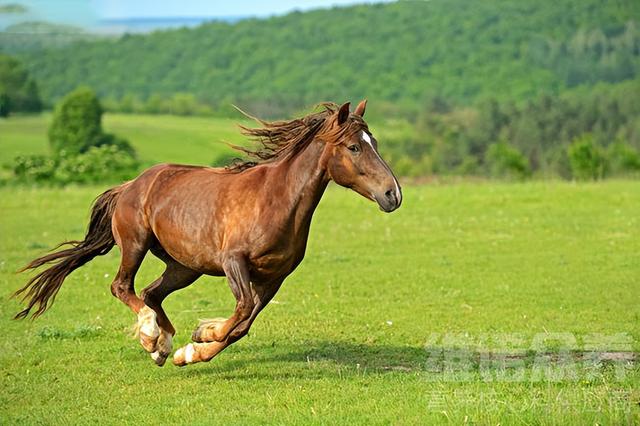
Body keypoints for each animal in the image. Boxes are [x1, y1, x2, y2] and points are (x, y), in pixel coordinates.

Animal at [12, 100, 402, 366]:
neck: (276, 200)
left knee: (152, 293)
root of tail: (129, 185)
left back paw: (163, 347)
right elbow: (241, 311)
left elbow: (243, 324)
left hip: (185, 266)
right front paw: (201, 337)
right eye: (354, 146)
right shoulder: (234, 262)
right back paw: (150, 335)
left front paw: (191, 348)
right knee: (123, 287)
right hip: (136, 245)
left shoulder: (274, 277)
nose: (393, 195)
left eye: (374, 142)